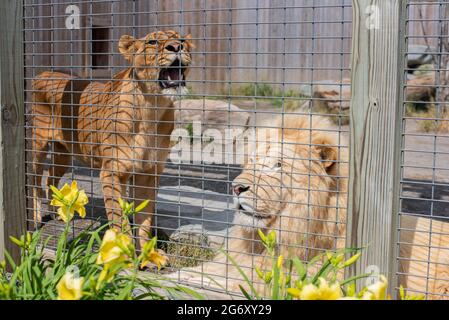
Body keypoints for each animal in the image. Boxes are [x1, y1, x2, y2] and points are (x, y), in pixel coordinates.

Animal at [29, 30, 193, 248]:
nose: (176, 46)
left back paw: (59, 214)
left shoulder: (148, 173)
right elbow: (119, 219)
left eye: (182, 39)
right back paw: (36, 219)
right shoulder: (111, 172)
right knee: (34, 180)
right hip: (38, 145)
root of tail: (44, 73)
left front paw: (146, 254)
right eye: (152, 41)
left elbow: (144, 221)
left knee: (50, 179)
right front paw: (123, 250)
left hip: (64, 152)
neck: (151, 108)